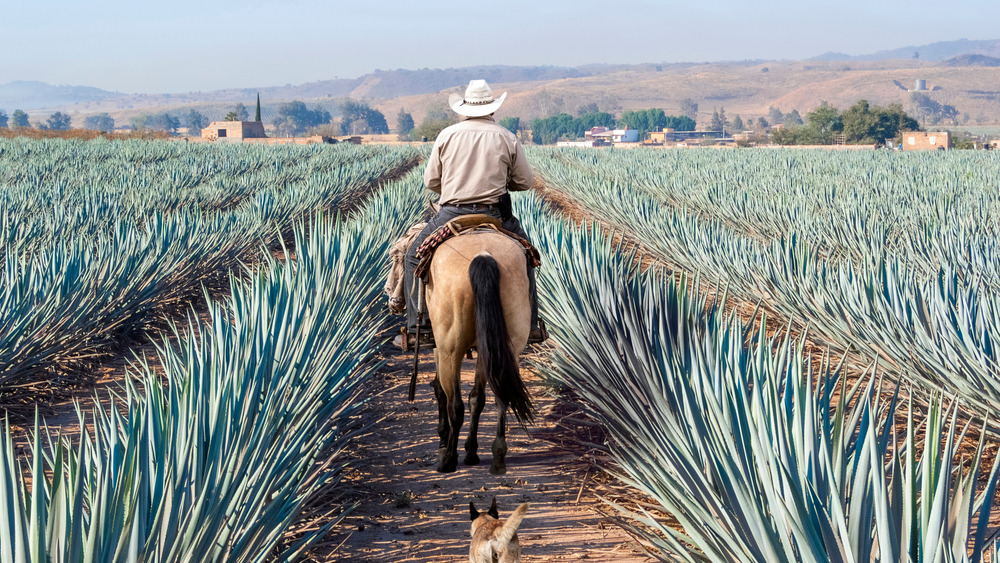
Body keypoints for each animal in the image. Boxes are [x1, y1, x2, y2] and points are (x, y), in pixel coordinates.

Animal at [424, 230, 536, 476]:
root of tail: (483, 255)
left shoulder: (440, 347)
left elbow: (440, 391)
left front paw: (444, 441)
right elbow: (477, 398)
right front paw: (471, 451)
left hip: (451, 349)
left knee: (455, 405)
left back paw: (448, 461)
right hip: (505, 344)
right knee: (500, 396)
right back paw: (498, 456)